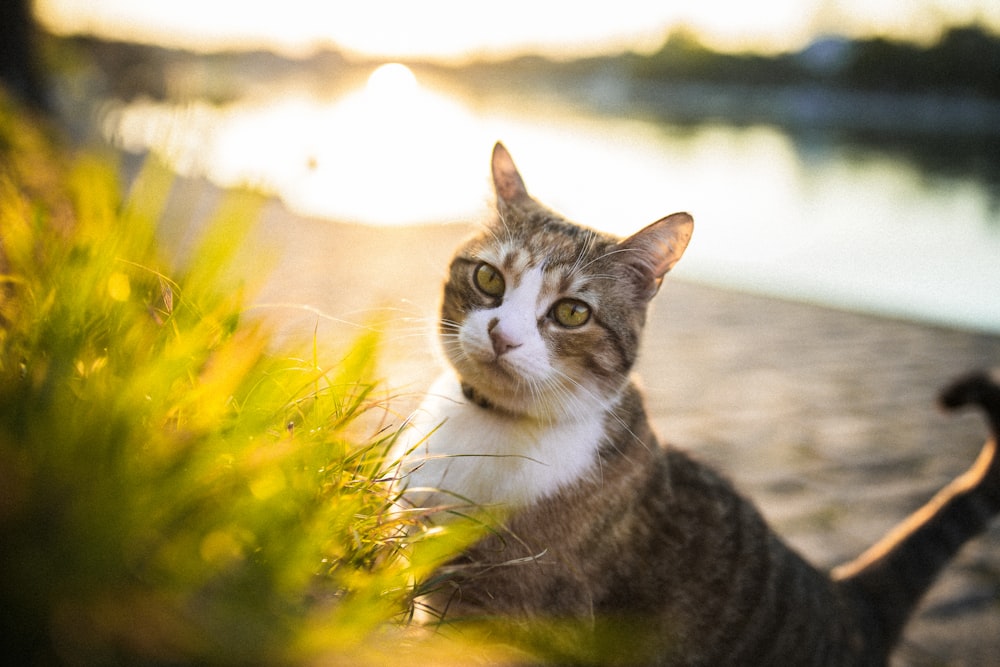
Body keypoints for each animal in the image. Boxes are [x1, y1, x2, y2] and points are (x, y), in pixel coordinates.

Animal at [392, 144, 1000, 664]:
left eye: (572, 313)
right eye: (488, 278)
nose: (504, 337)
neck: (488, 424)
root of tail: (846, 601)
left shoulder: (507, 616)